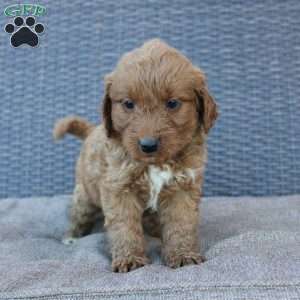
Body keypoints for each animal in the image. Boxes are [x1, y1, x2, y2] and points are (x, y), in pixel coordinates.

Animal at [53, 39, 218, 272]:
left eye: (173, 103)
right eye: (128, 104)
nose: (148, 145)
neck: (155, 164)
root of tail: (92, 130)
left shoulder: (183, 187)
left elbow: (181, 223)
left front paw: (183, 254)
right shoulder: (118, 187)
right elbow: (125, 227)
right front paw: (130, 258)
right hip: (84, 196)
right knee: (79, 216)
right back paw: (71, 237)